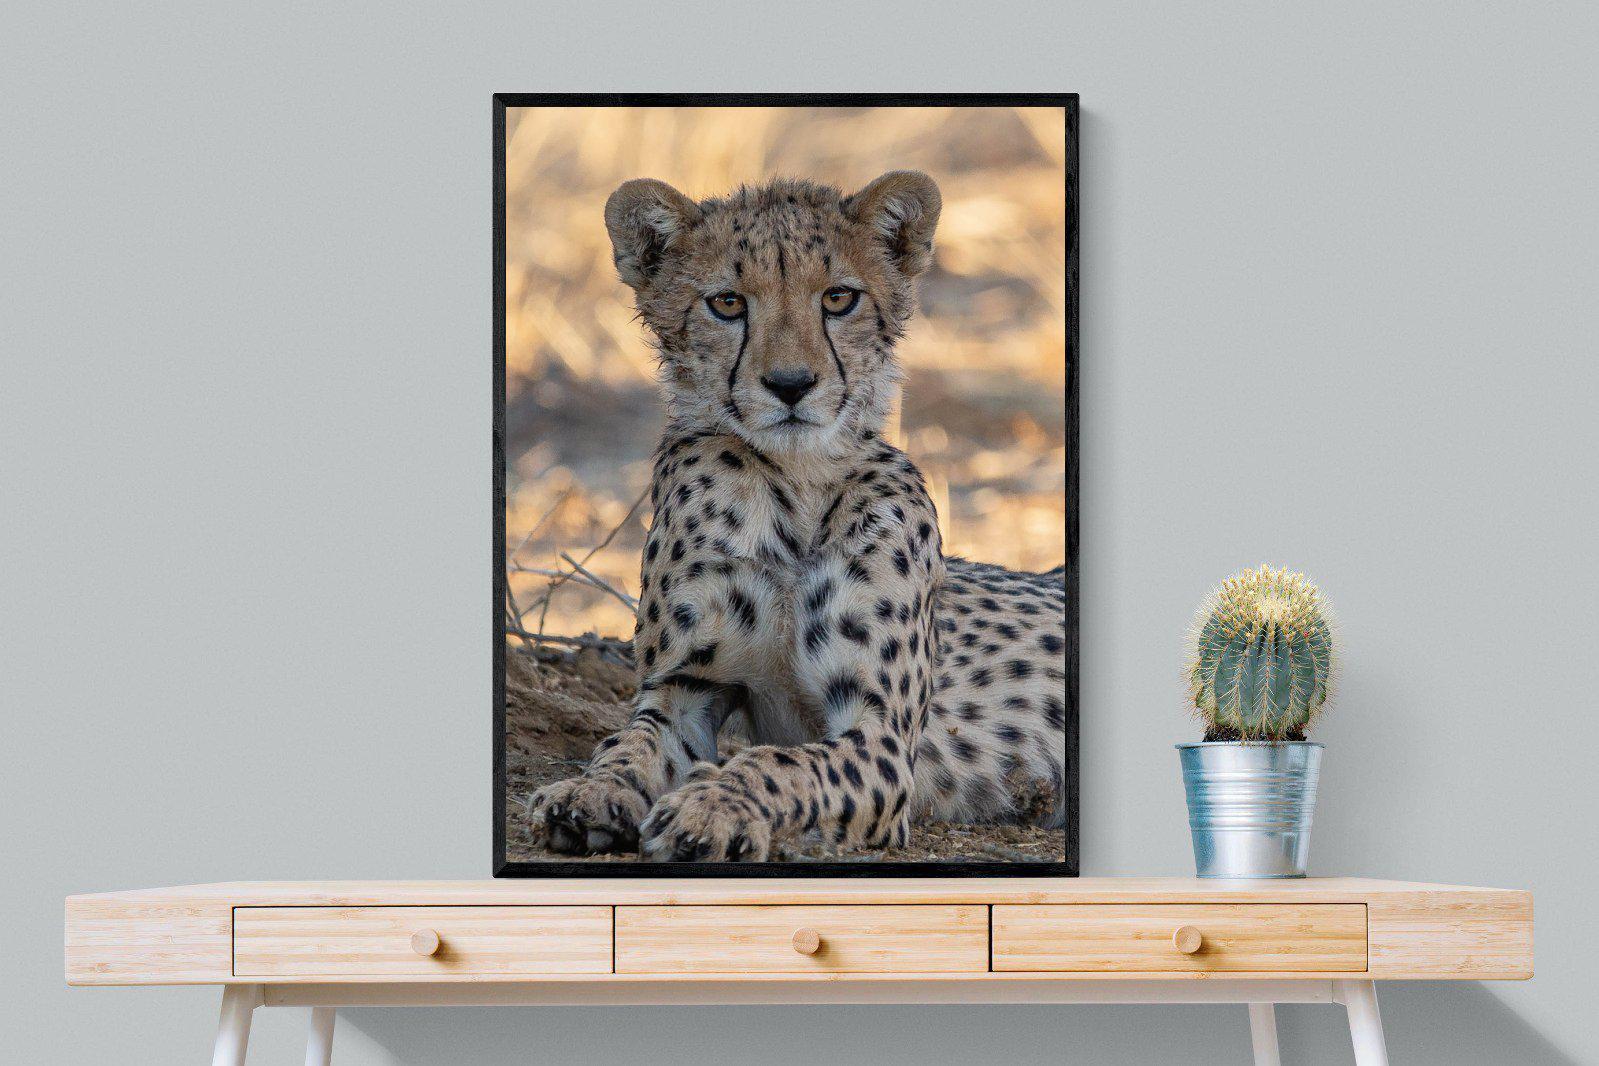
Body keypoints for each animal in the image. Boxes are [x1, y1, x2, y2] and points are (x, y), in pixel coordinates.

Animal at [527, 170, 1068, 862]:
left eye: (838, 298)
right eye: (727, 304)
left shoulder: (881, 736)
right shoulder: (683, 689)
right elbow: (629, 744)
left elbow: (782, 763)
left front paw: (712, 806)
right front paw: (591, 791)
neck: (796, 487)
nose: (790, 385)